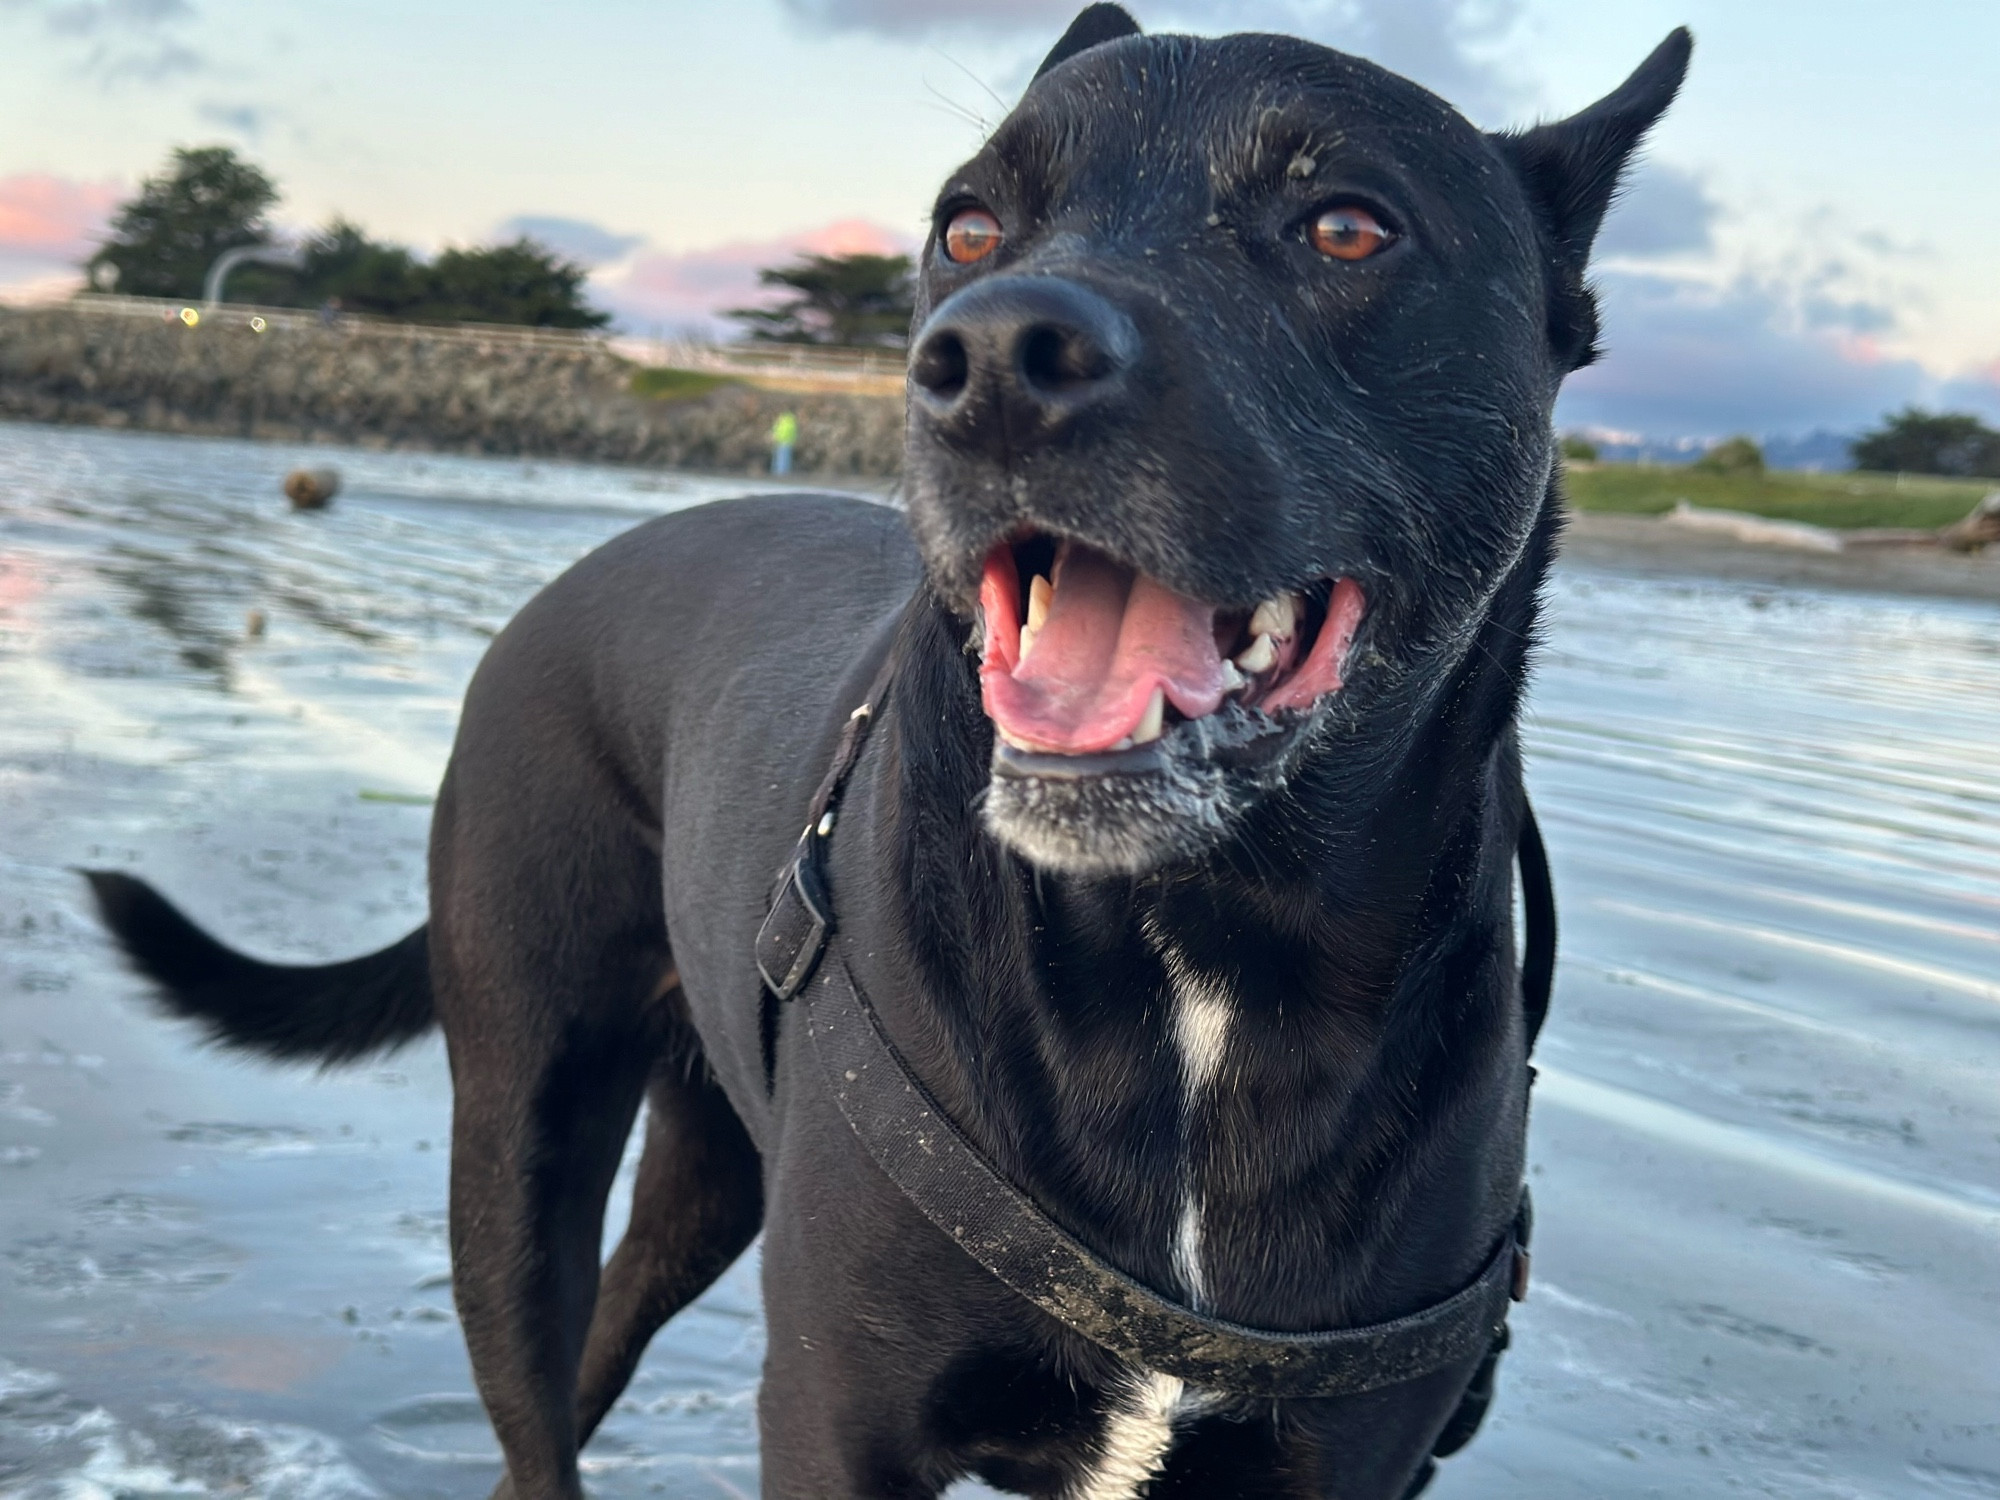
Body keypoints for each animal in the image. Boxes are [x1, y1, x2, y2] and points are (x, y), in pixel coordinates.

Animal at [90, 8, 1688, 1496]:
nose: (989, 360)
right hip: (521, 1138)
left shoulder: (1341, 1466)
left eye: (1347, 224)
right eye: (967, 224)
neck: (1203, 949)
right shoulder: (833, 1419)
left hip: (706, 1176)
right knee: (538, 1413)